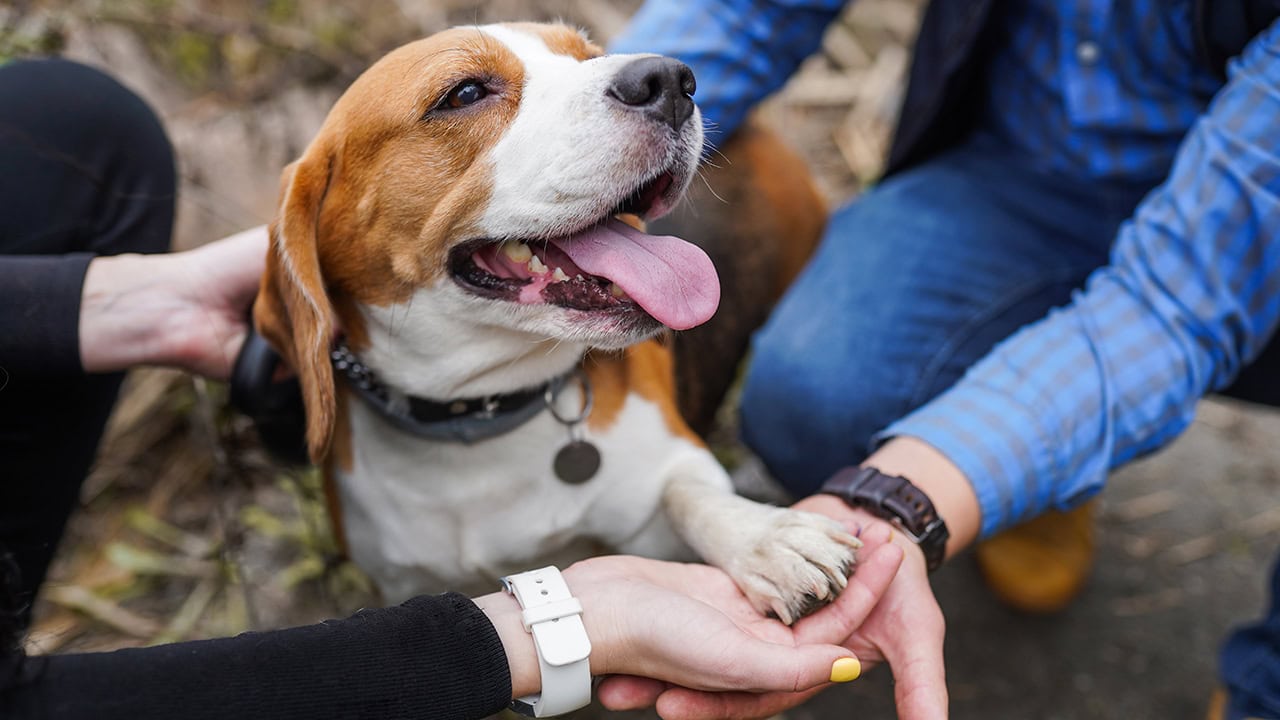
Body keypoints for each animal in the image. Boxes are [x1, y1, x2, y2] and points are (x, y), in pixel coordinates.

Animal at [257, 20, 860, 617]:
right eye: (464, 94)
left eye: (587, 56)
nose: (671, 80)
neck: (478, 419)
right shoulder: (398, 581)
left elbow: (687, 493)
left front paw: (767, 538)